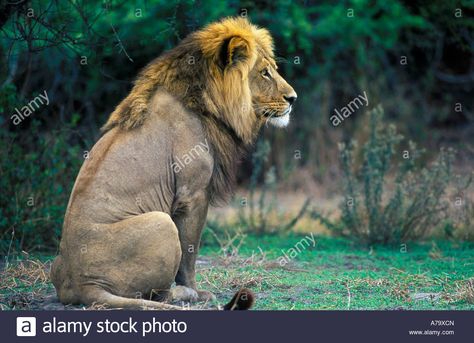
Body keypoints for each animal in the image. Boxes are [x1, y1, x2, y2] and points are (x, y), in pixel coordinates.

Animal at [51, 17, 296, 310]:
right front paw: (198, 291)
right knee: (151, 294)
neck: (206, 104)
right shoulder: (193, 194)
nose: (293, 98)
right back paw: (183, 293)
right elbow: (190, 251)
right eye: (264, 73)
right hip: (161, 221)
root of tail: (83, 285)